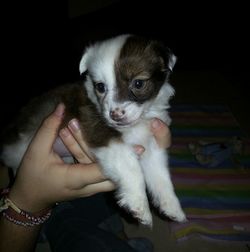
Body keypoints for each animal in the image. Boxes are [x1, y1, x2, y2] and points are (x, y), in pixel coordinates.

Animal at [0, 34, 186, 225]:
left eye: (139, 83)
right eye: (100, 87)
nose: (115, 115)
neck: (136, 124)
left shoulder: (152, 144)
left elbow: (160, 177)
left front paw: (172, 207)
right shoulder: (101, 133)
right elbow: (132, 167)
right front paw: (138, 204)